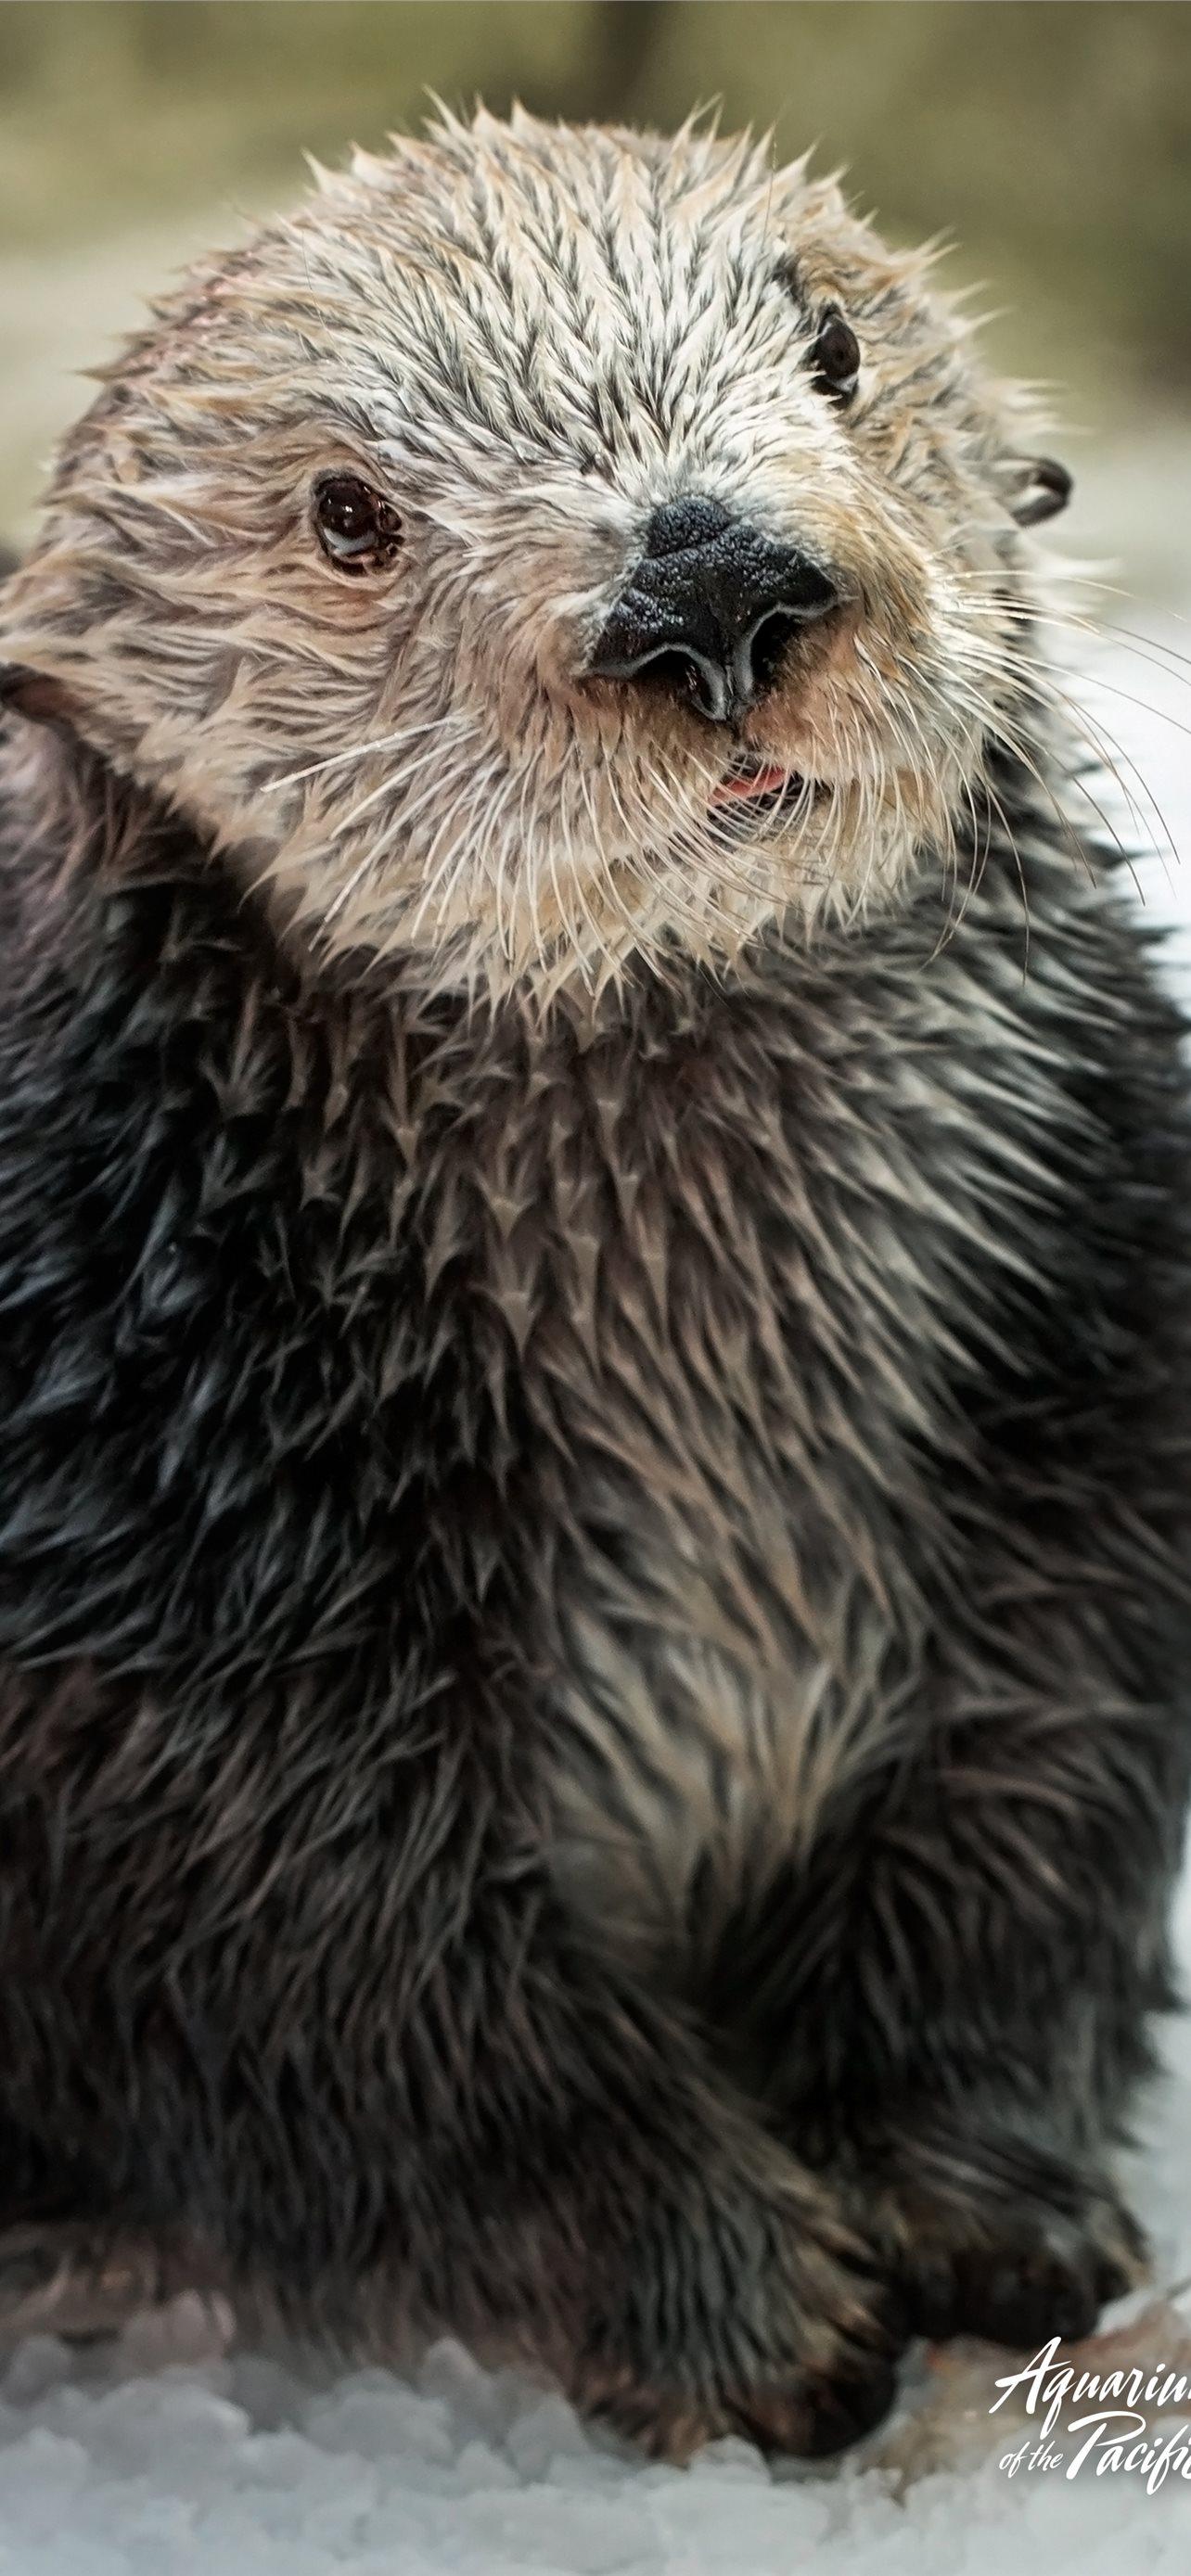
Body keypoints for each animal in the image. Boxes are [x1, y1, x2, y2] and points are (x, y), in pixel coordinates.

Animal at [0, 108, 1187, 2462]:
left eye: (832, 343)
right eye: (345, 512)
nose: (711, 584)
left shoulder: (1091, 1324)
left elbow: (1045, 1776)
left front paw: (981, 2200)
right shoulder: (138, 1515)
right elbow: (352, 1961)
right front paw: (751, 2304)